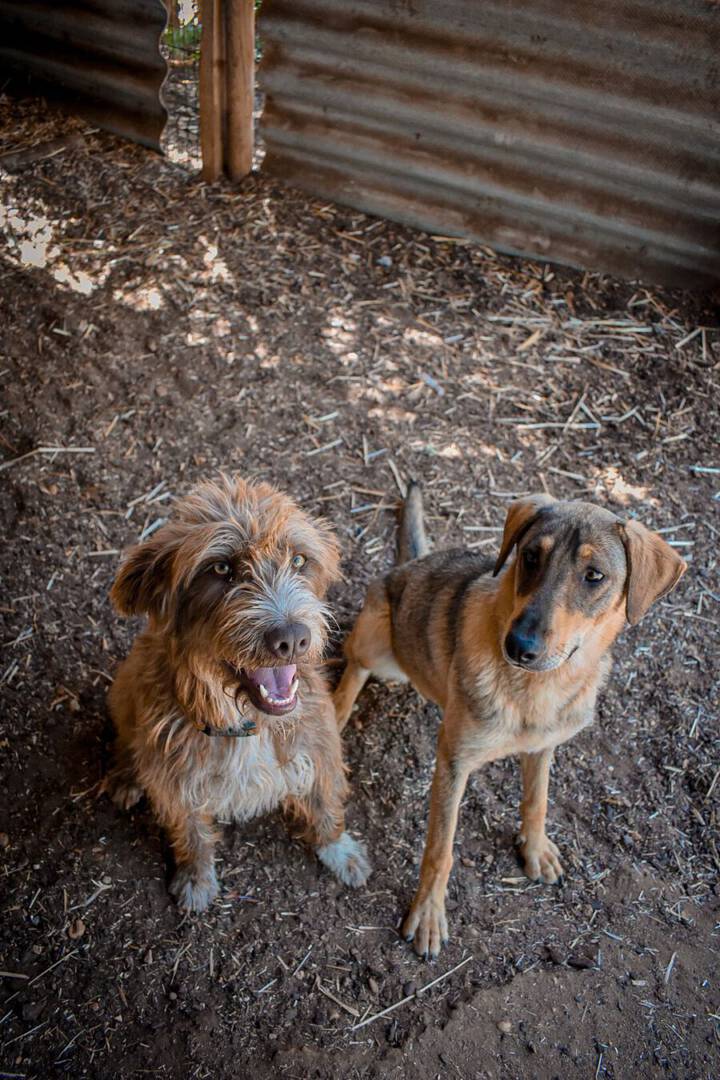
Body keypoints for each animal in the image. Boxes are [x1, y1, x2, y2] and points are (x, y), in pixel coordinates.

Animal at [104, 474, 370, 912]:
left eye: (299, 561)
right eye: (221, 568)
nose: (292, 638)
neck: (247, 723)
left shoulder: (318, 748)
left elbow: (325, 803)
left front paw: (339, 850)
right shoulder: (176, 781)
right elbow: (191, 834)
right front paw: (196, 879)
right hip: (124, 691)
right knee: (127, 739)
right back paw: (126, 776)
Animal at [334, 484, 686, 957]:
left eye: (594, 575)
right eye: (531, 556)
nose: (519, 645)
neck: (538, 687)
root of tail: (406, 565)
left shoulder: (543, 748)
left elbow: (537, 801)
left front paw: (534, 850)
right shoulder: (453, 763)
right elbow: (440, 848)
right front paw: (428, 913)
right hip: (377, 643)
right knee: (352, 671)